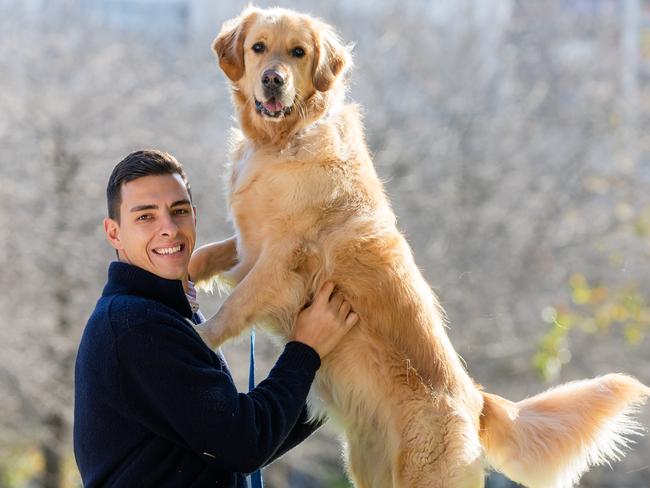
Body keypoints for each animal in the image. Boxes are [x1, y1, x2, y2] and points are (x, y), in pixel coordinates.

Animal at [191, 7, 648, 488]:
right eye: (258, 48)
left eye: (298, 52)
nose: (273, 80)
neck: (282, 141)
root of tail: (476, 401)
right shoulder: (247, 246)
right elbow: (206, 254)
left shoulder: (279, 260)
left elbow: (236, 306)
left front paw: (200, 336)